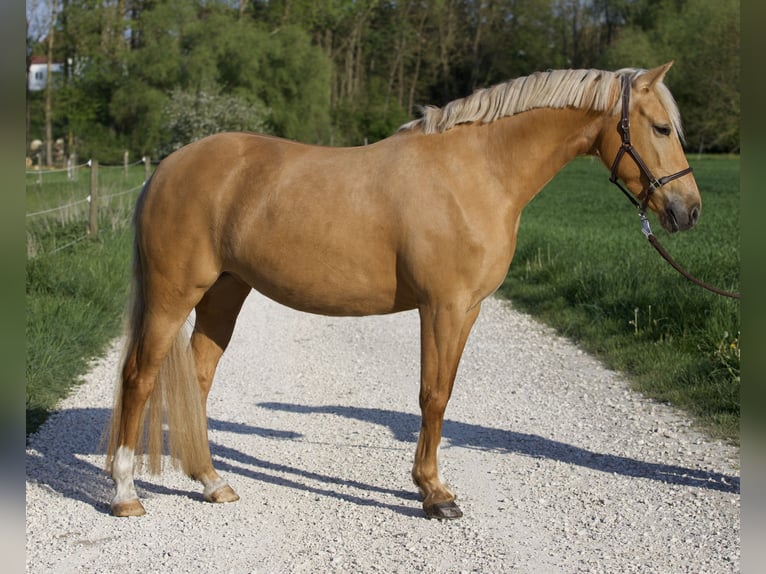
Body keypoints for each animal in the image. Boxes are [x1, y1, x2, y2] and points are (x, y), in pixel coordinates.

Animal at [106, 63, 704, 520]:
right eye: (660, 128)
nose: (688, 211)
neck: (476, 172)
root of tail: (166, 168)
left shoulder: (468, 310)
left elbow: (444, 392)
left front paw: (431, 486)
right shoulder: (441, 307)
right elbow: (431, 395)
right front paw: (434, 495)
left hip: (225, 292)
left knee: (198, 380)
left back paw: (212, 482)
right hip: (173, 294)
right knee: (139, 377)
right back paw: (126, 492)